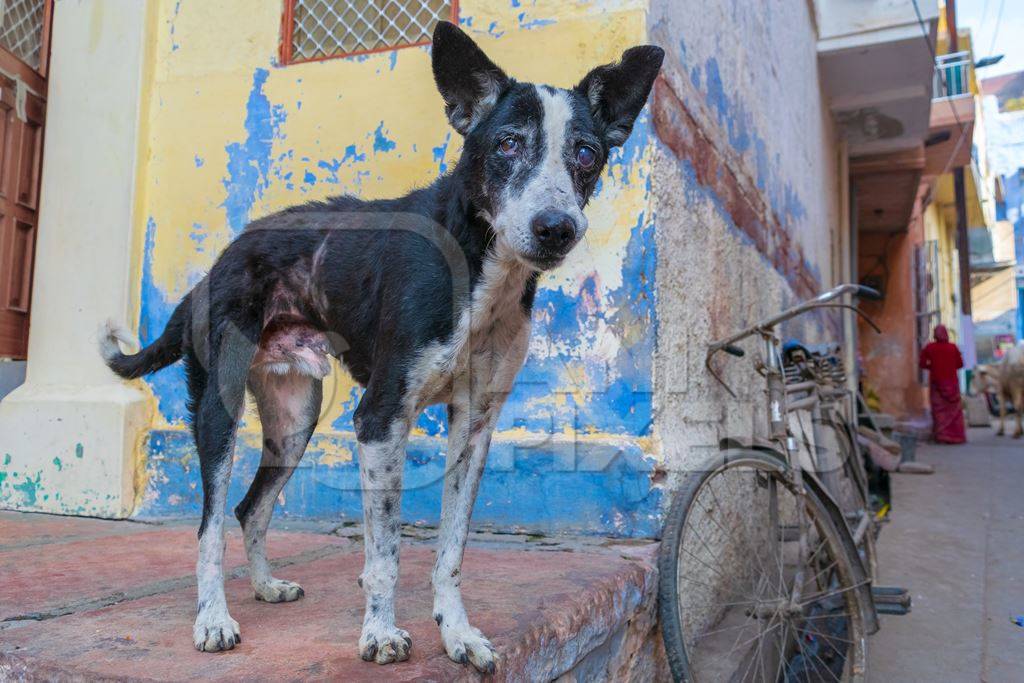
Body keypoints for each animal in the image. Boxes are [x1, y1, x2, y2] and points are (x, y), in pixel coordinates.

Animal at [101, 21, 663, 671]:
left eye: (587, 154)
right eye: (507, 144)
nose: (556, 229)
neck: (478, 266)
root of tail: (218, 262)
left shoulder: (475, 426)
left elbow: (450, 553)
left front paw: (458, 634)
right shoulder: (380, 418)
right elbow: (385, 553)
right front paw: (379, 634)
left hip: (294, 419)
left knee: (250, 508)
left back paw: (265, 586)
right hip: (220, 407)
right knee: (210, 525)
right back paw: (214, 618)